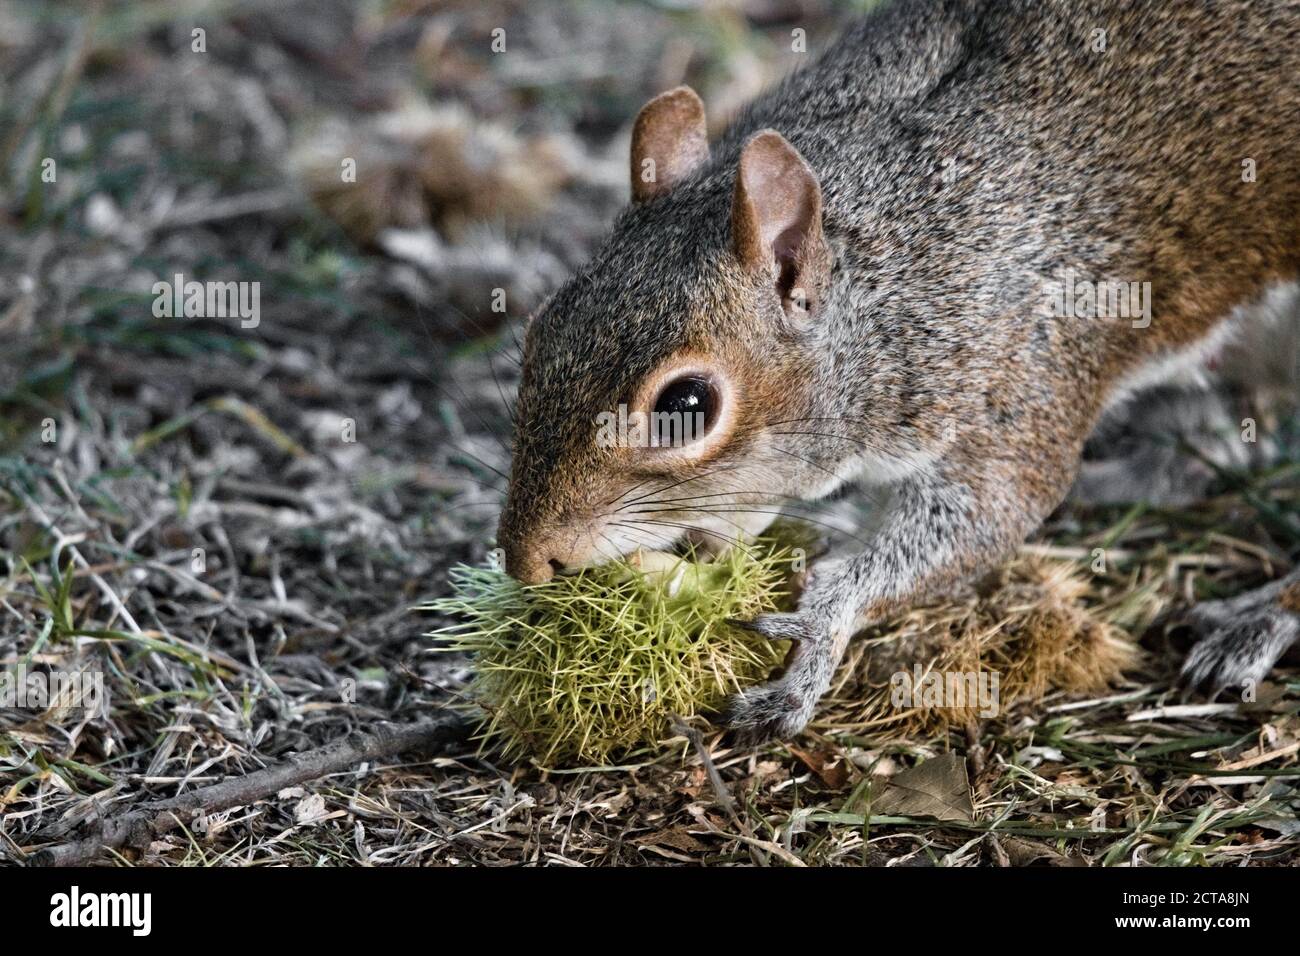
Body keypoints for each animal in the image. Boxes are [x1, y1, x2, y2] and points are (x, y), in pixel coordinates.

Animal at [497, 0, 1300, 741]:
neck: (892, 278)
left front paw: (820, 627)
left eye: (688, 405)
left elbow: (987, 514)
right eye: (540, 332)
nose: (526, 561)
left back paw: (1260, 617)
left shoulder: (1019, 371)